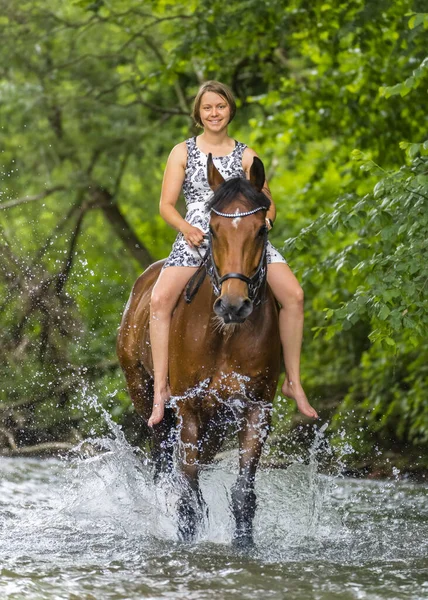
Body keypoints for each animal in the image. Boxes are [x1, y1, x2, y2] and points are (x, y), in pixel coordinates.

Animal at [117, 156, 280, 548]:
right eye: (214, 230)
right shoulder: (189, 409)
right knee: (163, 465)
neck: (224, 336)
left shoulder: (256, 409)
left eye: (260, 231)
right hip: (146, 396)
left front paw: (243, 546)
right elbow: (188, 498)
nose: (233, 305)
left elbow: (243, 493)